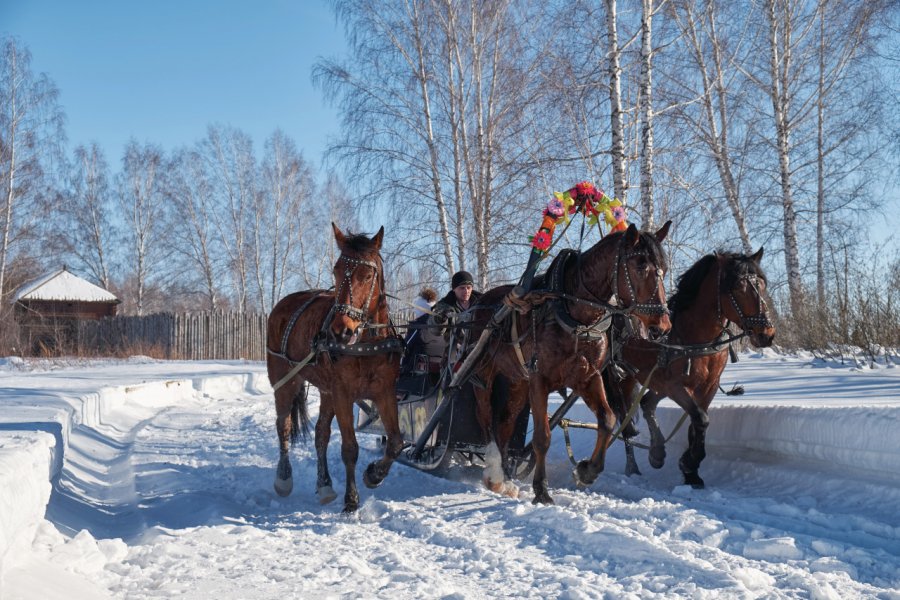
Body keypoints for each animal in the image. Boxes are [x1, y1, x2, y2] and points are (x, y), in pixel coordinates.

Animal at [266, 223, 402, 512]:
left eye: (367, 274)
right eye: (337, 270)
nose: (341, 331)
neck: (366, 342)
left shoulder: (385, 392)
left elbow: (396, 442)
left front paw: (374, 474)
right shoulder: (343, 394)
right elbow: (349, 447)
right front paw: (351, 500)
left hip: (326, 390)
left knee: (321, 434)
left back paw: (325, 484)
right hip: (284, 378)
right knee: (283, 425)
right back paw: (283, 478)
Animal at [468, 220, 672, 502]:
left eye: (664, 268)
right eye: (640, 266)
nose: (662, 326)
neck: (576, 314)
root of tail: (481, 301)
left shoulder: (587, 377)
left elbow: (607, 420)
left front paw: (587, 470)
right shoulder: (539, 379)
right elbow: (542, 436)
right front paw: (541, 489)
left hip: (517, 380)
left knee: (506, 422)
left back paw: (506, 479)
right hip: (484, 374)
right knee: (485, 416)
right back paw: (495, 474)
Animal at [608, 247, 776, 488]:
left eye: (762, 285)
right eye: (738, 286)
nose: (766, 334)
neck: (696, 338)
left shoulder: (708, 387)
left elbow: (697, 421)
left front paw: (691, 471)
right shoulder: (675, 386)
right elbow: (701, 418)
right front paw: (689, 462)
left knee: (647, 403)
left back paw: (656, 451)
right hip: (622, 379)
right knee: (625, 422)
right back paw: (632, 466)